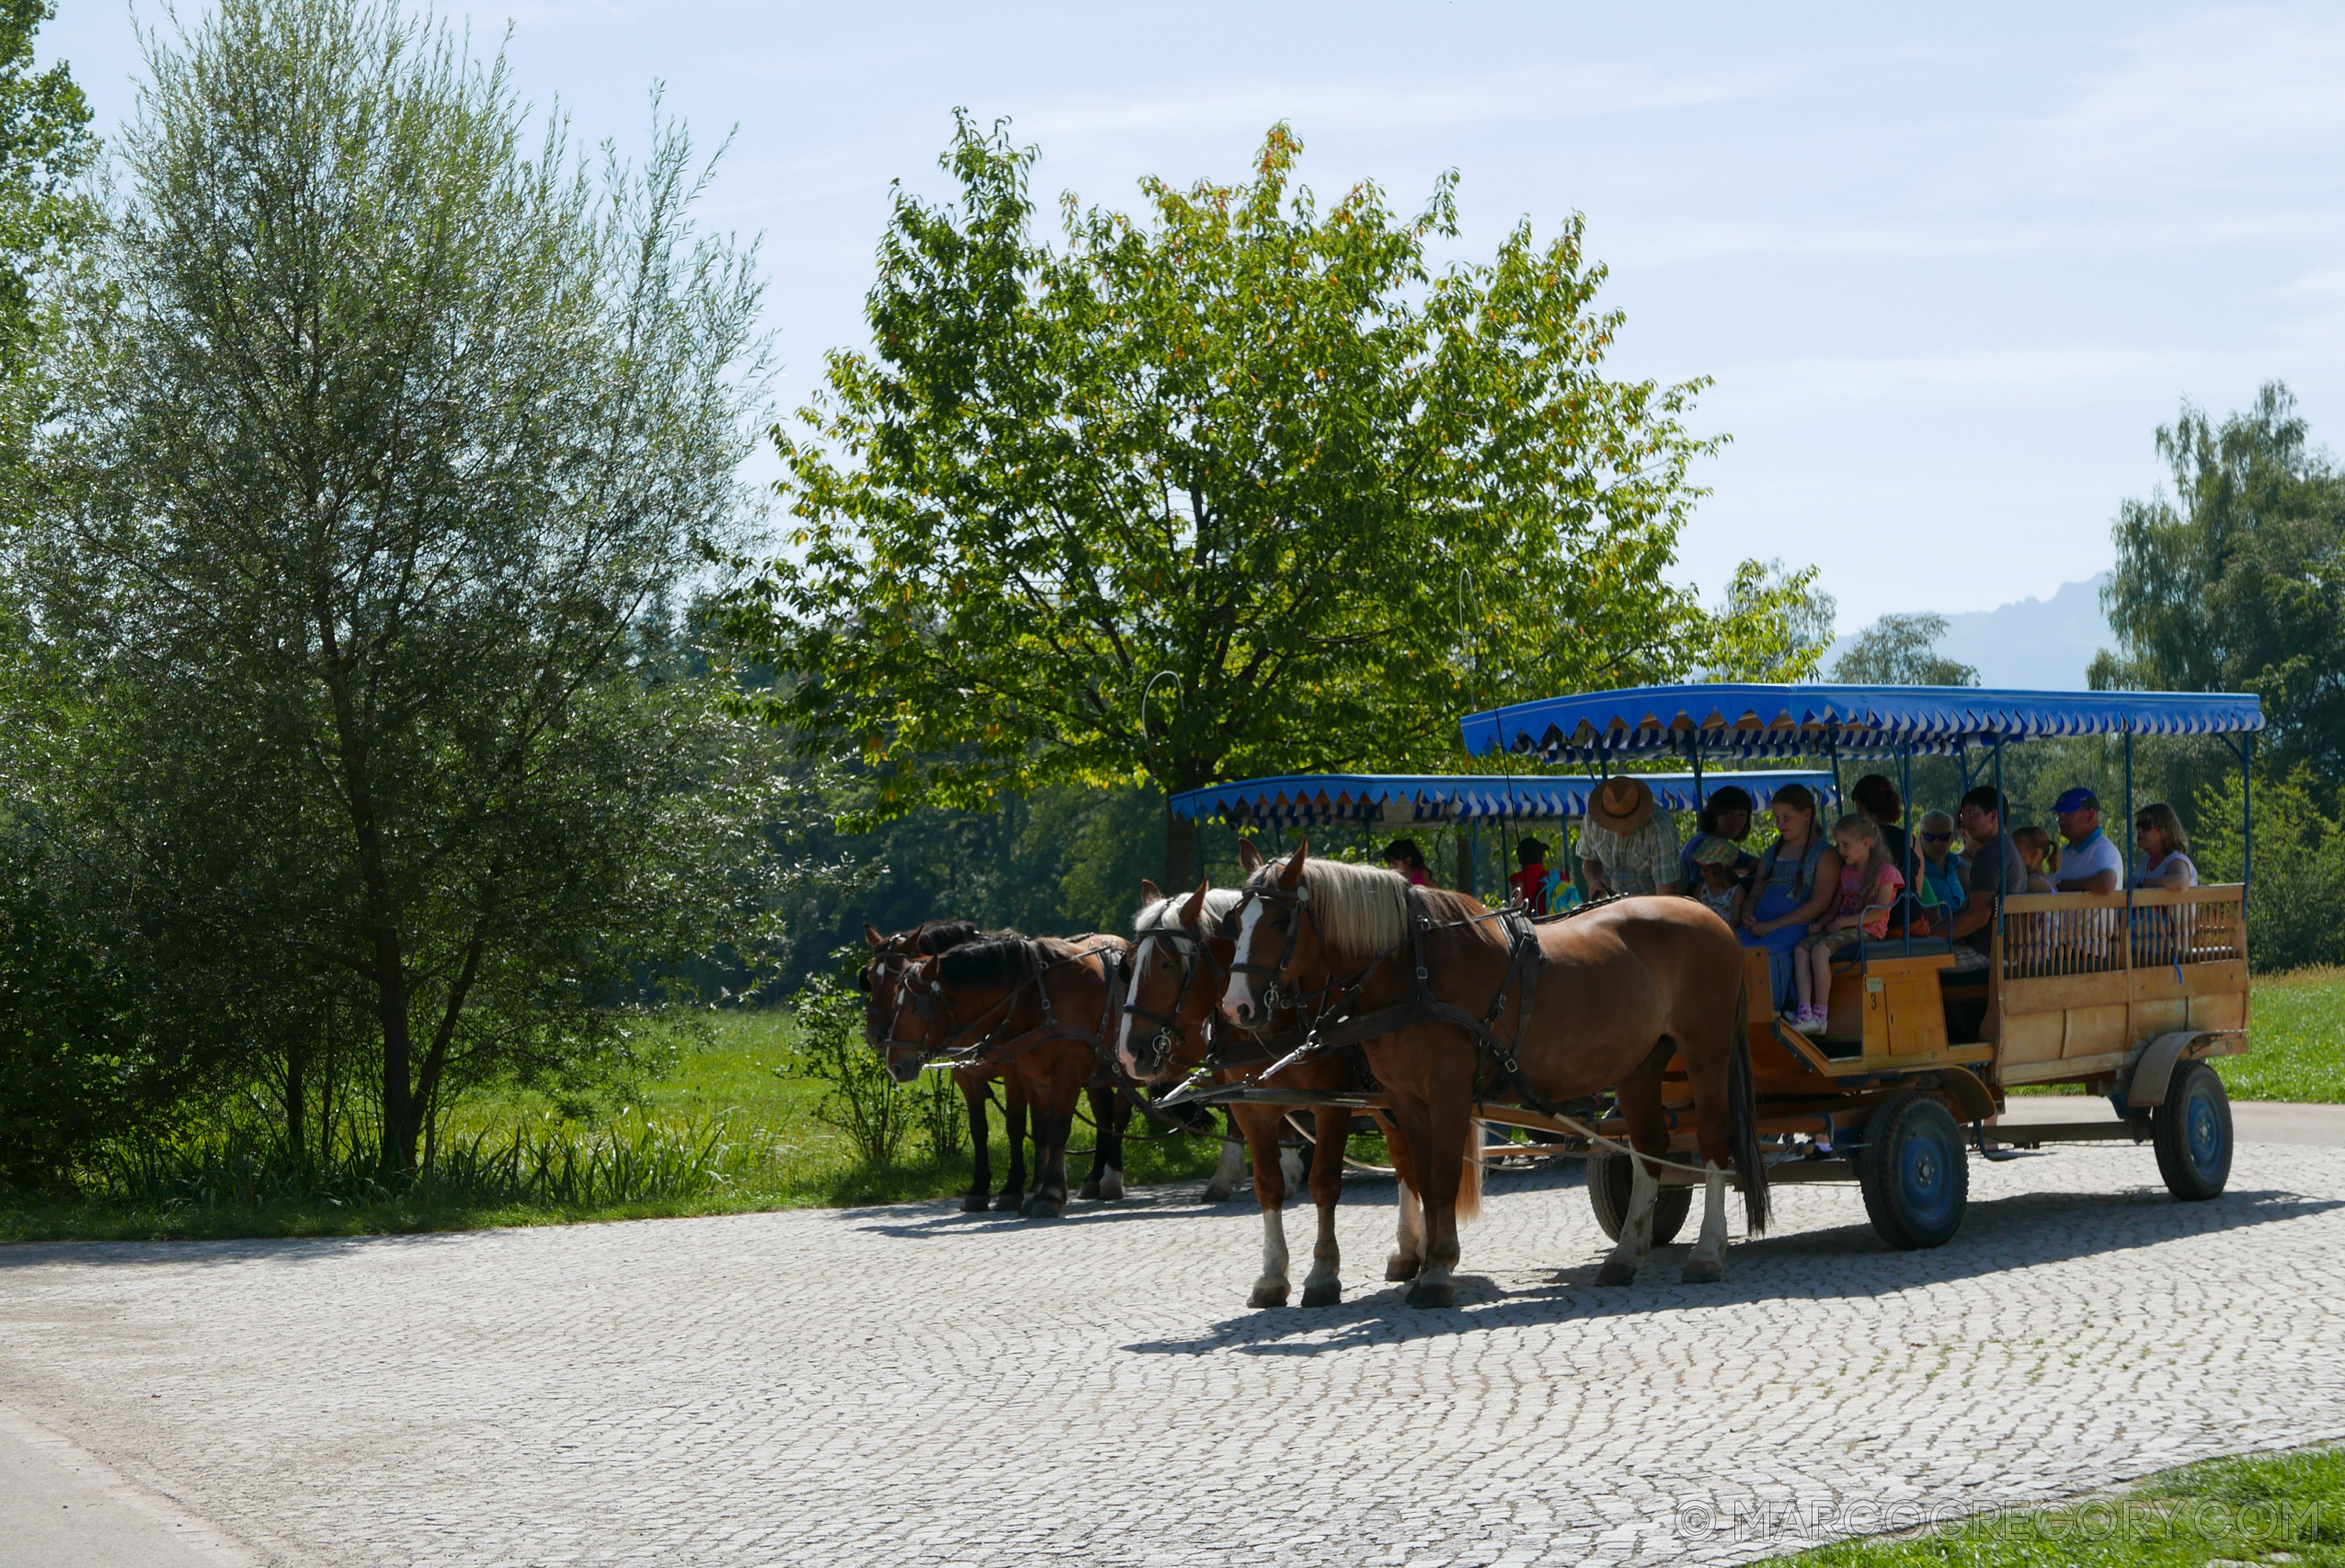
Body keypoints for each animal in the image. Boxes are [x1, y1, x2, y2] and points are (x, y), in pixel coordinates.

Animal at [881, 923, 1135, 1219]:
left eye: (914, 1008)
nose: (894, 1065)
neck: (1033, 994)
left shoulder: (1059, 1070)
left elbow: (1047, 1127)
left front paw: (1042, 1193)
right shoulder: (1015, 1072)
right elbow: (1027, 1130)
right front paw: (1020, 1190)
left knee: (1119, 1116)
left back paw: (1111, 1178)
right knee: (1104, 1117)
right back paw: (1094, 1179)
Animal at [1229, 843, 1763, 1312]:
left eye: (1278, 920)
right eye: (1237, 920)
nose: (1239, 1007)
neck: (1415, 971)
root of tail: (1708, 915)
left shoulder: (1448, 1094)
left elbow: (1442, 1179)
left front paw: (1437, 1272)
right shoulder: (1404, 1099)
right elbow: (1424, 1179)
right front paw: (1429, 1265)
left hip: (1706, 1054)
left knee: (1713, 1142)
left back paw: (1707, 1251)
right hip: (1640, 1065)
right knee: (1649, 1148)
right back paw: (1626, 1254)